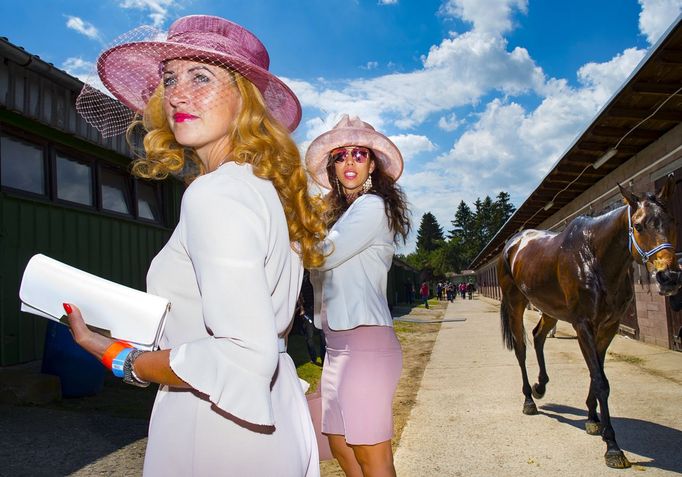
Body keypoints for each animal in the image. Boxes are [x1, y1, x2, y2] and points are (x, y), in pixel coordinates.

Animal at [496, 173, 676, 466]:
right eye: (638, 225)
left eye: (671, 221)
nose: (669, 277)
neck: (595, 258)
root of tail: (511, 245)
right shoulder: (583, 325)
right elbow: (600, 380)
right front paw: (612, 447)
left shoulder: (609, 326)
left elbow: (597, 372)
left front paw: (593, 419)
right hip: (515, 303)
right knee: (521, 348)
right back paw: (529, 400)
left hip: (550, 308)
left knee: (538, 336)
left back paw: (540, 386)